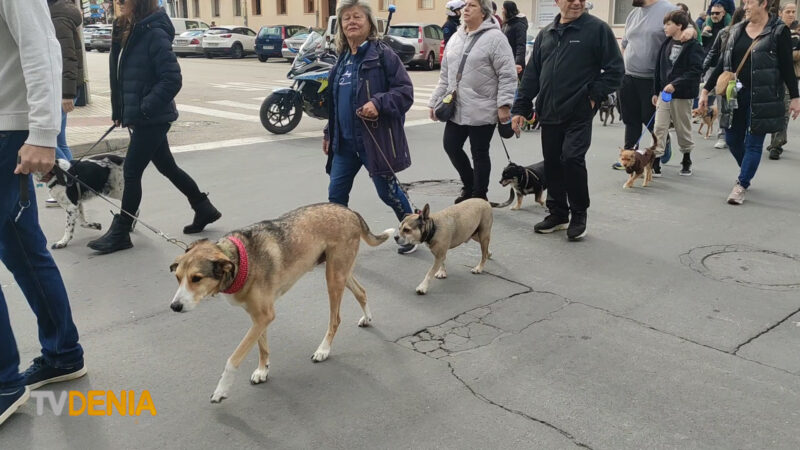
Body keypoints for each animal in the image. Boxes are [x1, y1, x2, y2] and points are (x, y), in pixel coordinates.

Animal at [168, 203, 394, 403]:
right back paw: (367, 317)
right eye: (178, 277)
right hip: (339, 271)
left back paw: (323, 350)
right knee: (361, 291)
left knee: (336, 319)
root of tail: (349, 211)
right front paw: (262, 370)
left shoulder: (264, 316)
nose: (175, 307)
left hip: (334, 277)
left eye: (196, 278)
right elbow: (262, 346)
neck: (241, 261)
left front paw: (221, 389)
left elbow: (233, 358)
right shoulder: (258, 317)